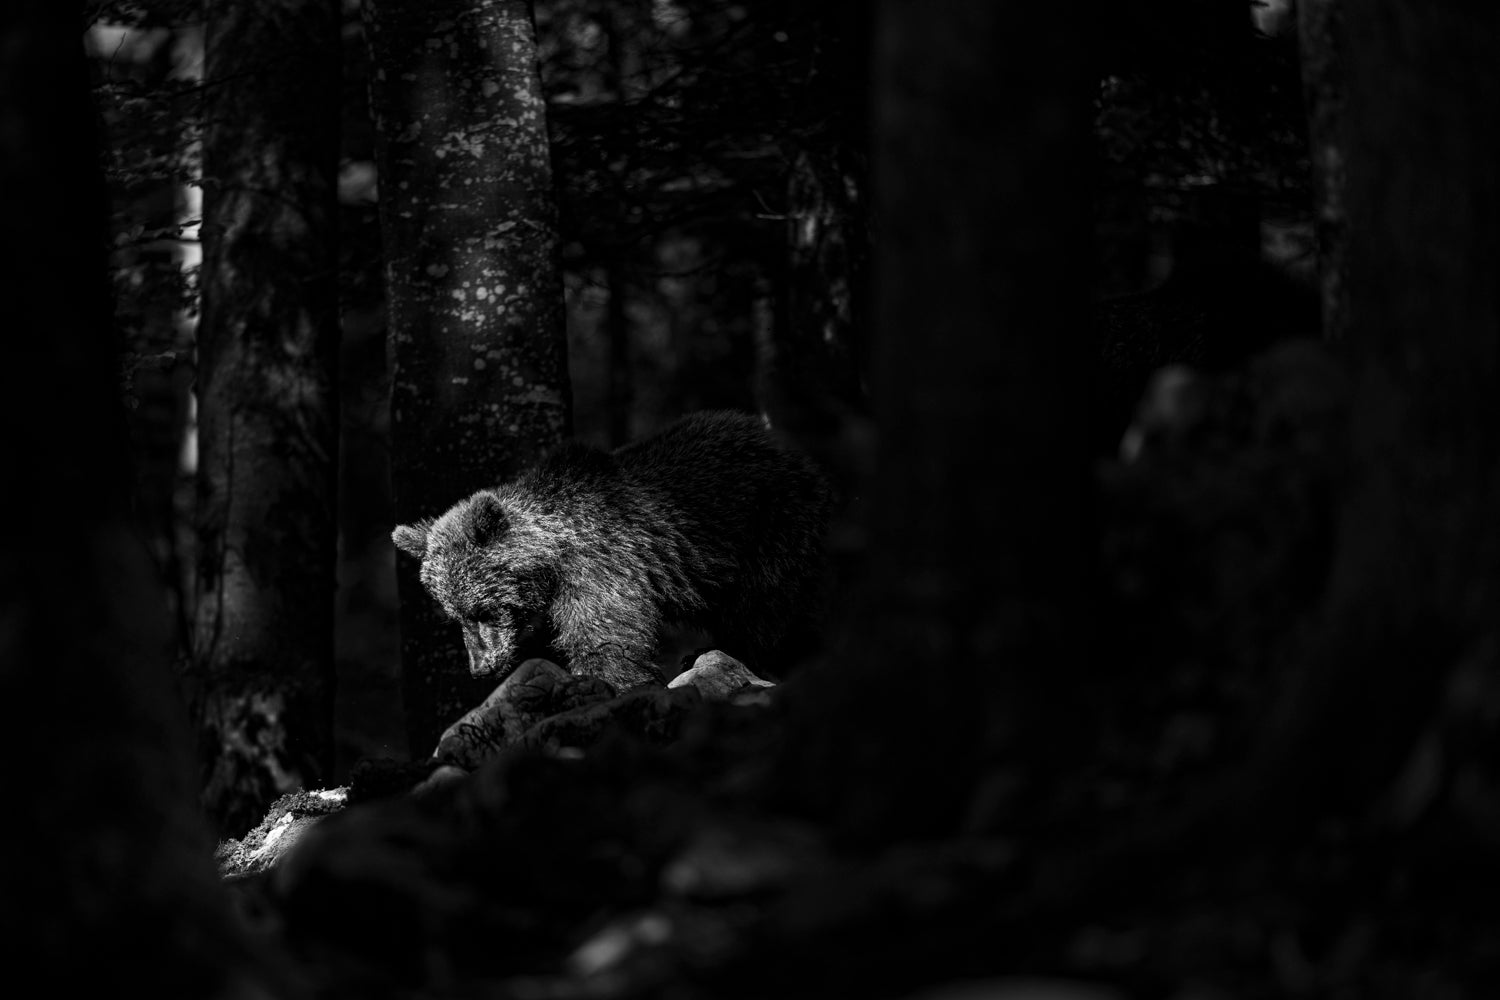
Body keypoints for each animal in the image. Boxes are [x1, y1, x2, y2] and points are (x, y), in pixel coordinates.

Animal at [391, 411, 834, 692]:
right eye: (455, 616)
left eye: (483, 609)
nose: (481, 668)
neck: (553, 560)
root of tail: (775, 440)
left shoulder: (602, 569)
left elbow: (606, 638)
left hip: (771, 522)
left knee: (763, 605)